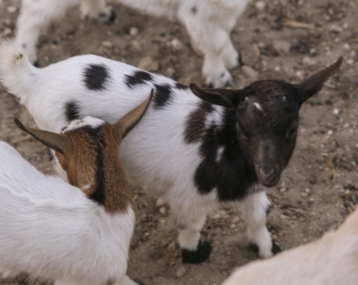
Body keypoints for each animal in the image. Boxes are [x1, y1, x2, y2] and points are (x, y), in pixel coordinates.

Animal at [0, 39, 342, 262]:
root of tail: (37, 78)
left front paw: (267, 250)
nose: (268, 171)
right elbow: (190, 224)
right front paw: (195, 254)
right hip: (60, 151)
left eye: (292, 129)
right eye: (244, 129)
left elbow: (259, 215)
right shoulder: (188, 195)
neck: (224, 144)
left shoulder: (251, 188)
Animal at [15, 0, 250, 87]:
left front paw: (233, 59)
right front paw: (220, 78)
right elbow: (215, 43)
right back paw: (26, 53)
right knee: (32, 13)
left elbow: (225, 33)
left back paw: (100, 14)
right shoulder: (198, 13)